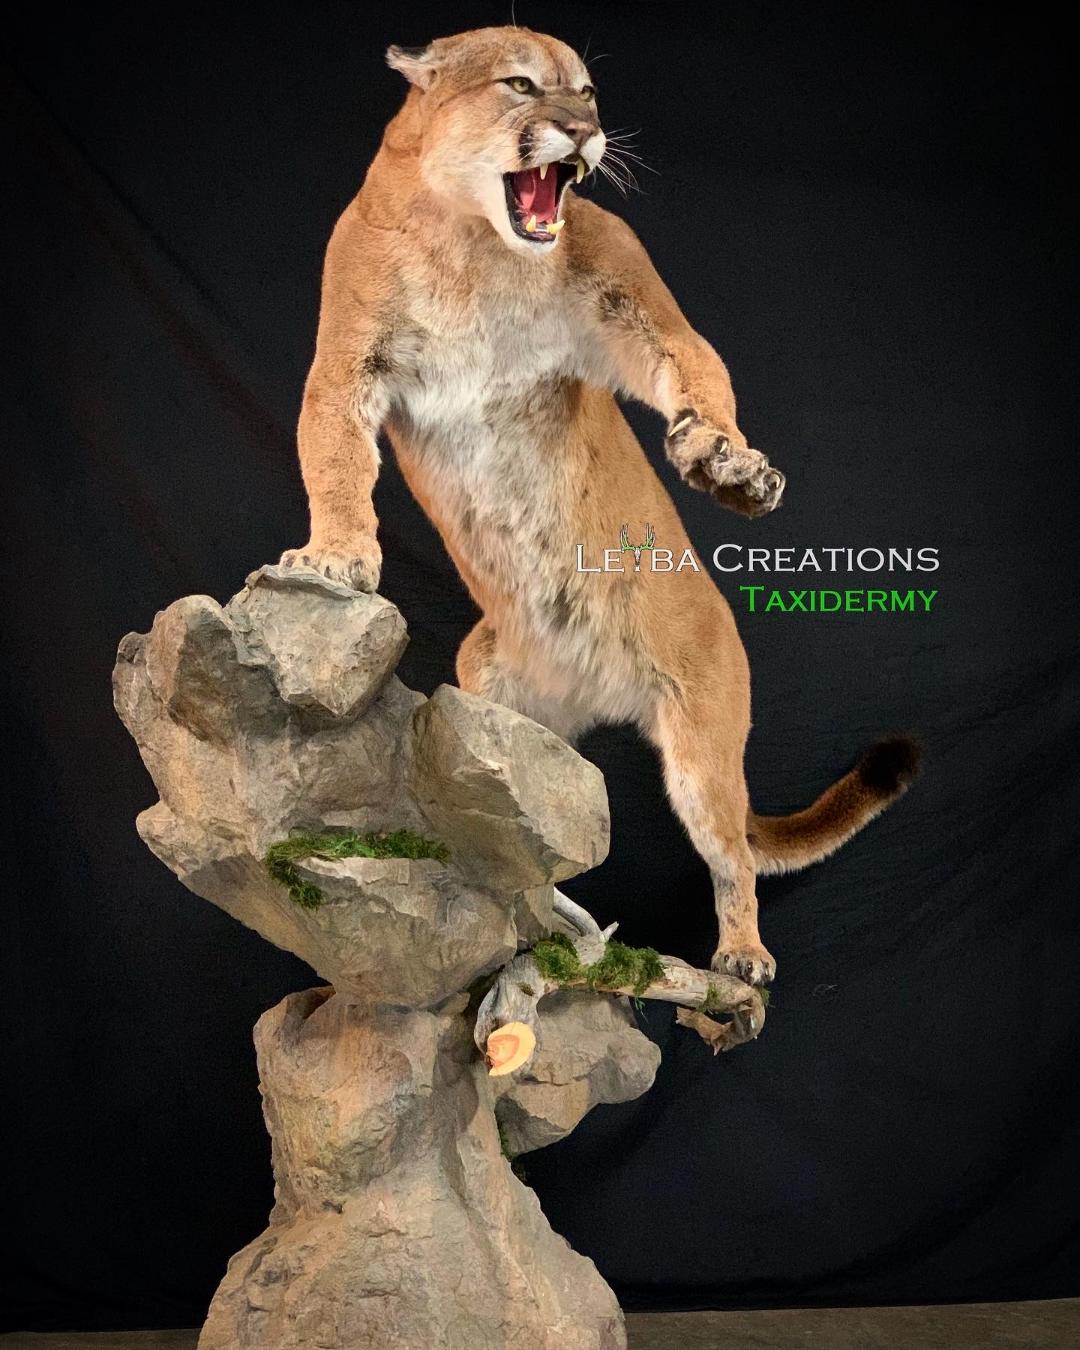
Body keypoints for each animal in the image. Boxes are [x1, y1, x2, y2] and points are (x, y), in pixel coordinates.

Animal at [280, 25, 918, 985]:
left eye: (587, 94)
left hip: (703, 751)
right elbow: (334, 459)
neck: (471, 244)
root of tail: (595, 694)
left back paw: (740, 957)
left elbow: (697, 369)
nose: (584, 133)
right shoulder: (346, 362)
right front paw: (334, 555)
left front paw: (730, 469)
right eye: (520, 85)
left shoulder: (628, 294)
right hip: (498, 701)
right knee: (533, 814)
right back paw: (540, 918)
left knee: (733, 859)